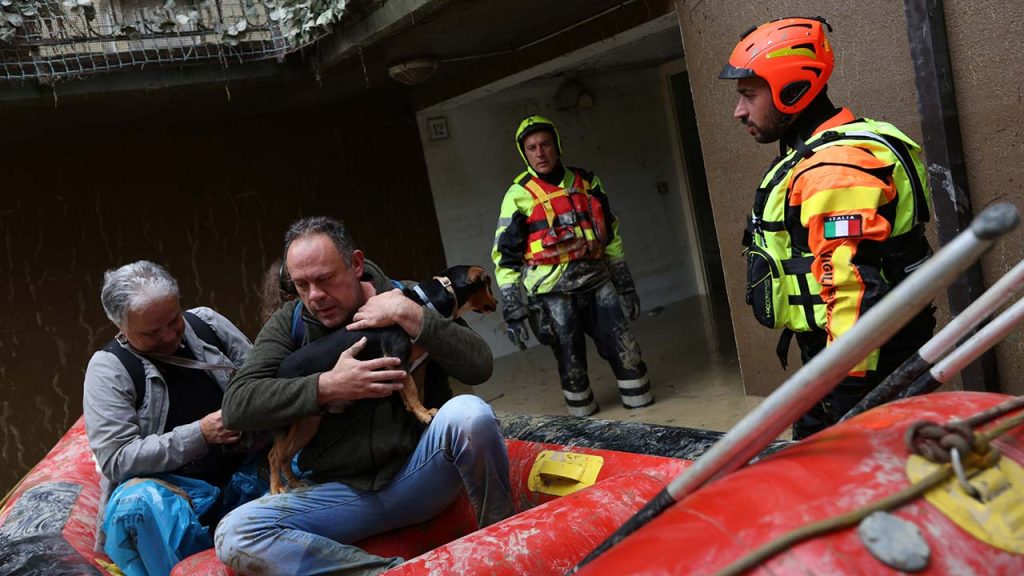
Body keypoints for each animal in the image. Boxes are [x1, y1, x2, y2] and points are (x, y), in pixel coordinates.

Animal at [270, 264, 497, 494]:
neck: (427, 301)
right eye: (487, 284)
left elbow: (416, 390)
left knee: (286, 455)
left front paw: (421, 412)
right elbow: (412, 391)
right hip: (288, 424)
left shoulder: (418, 367)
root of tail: (279, 373)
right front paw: (424, 414)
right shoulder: (396, 358)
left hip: (307, 423)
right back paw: (277, 488)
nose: (496, 303)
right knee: (274, 455)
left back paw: (294, 483)